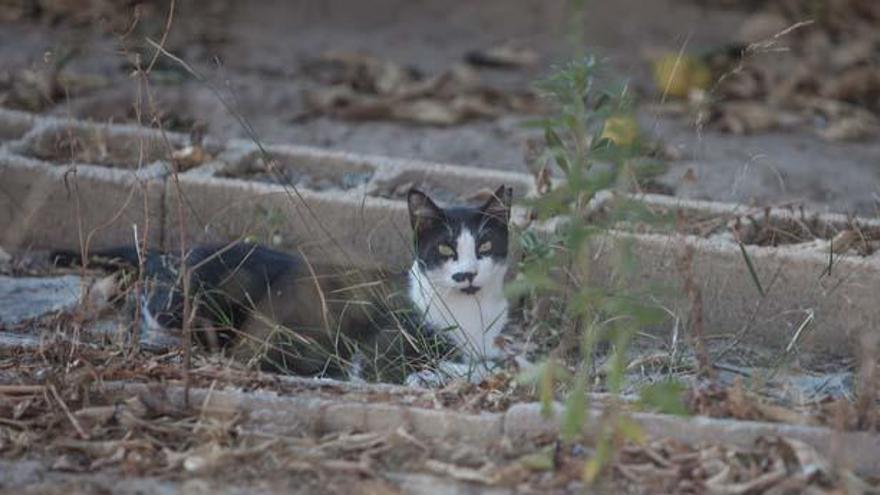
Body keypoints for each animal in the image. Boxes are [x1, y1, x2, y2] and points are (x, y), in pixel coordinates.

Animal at [53, 186, 516, 384]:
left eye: (485, 246)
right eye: (445, 249)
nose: (466, 275)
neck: (471, 313)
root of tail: (173, 253)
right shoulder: (379, 353)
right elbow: (448, 366)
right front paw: (481, 369)